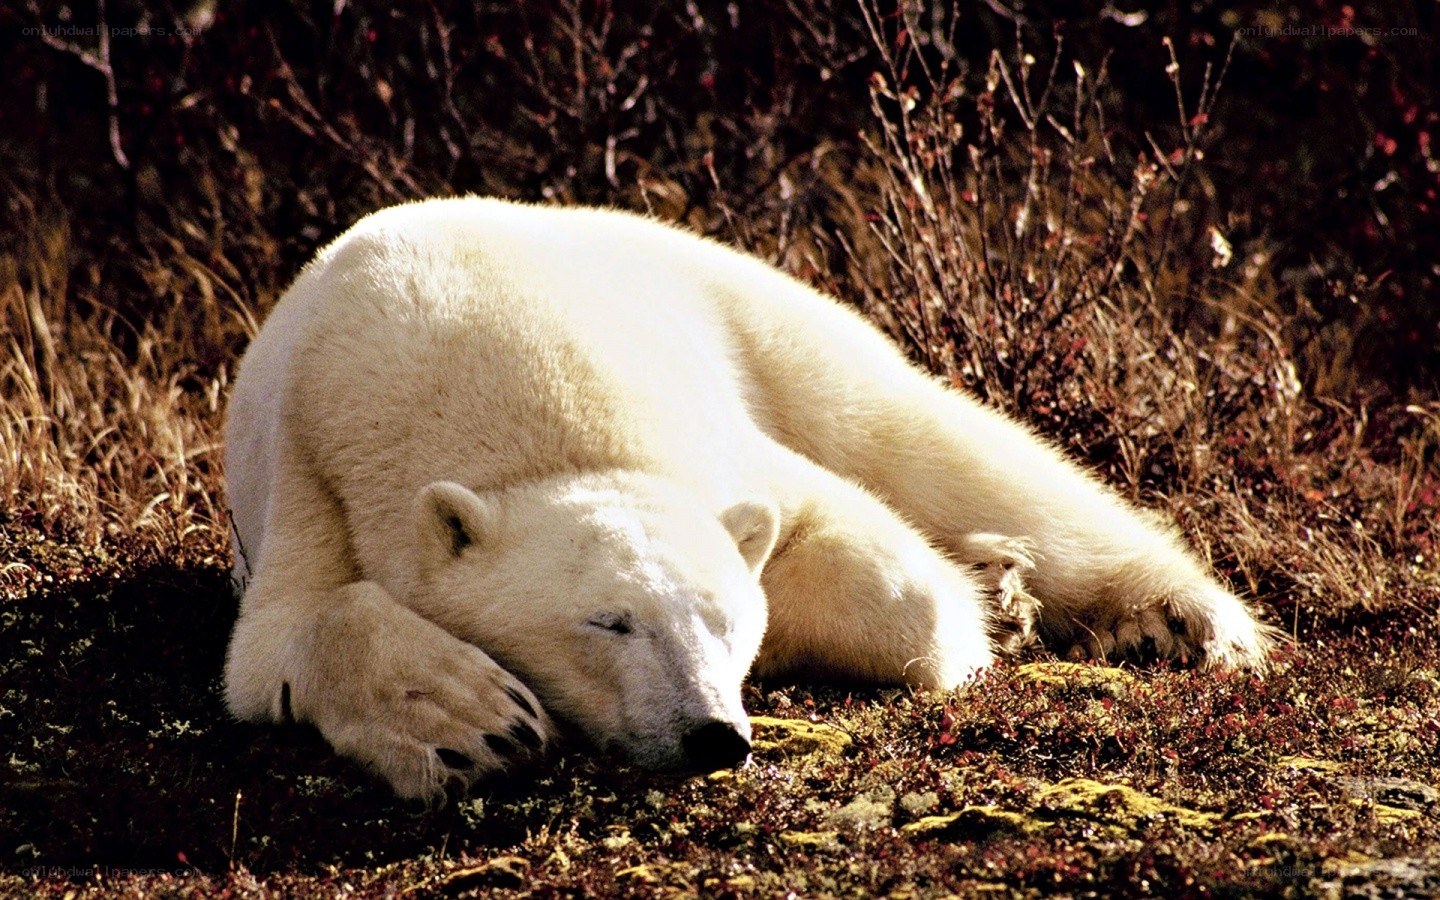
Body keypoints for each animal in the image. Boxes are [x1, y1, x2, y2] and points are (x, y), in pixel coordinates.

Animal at [223, 196, 1274, 800]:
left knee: (929, 440)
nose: (712, 736)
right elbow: (282, 638)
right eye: (608, 622)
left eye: (724, 619)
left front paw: (983, 609)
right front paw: (470, 716)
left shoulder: (708, 431)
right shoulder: (319, 468)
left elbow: (882, 570)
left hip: (754, 310)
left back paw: (1176, 618)